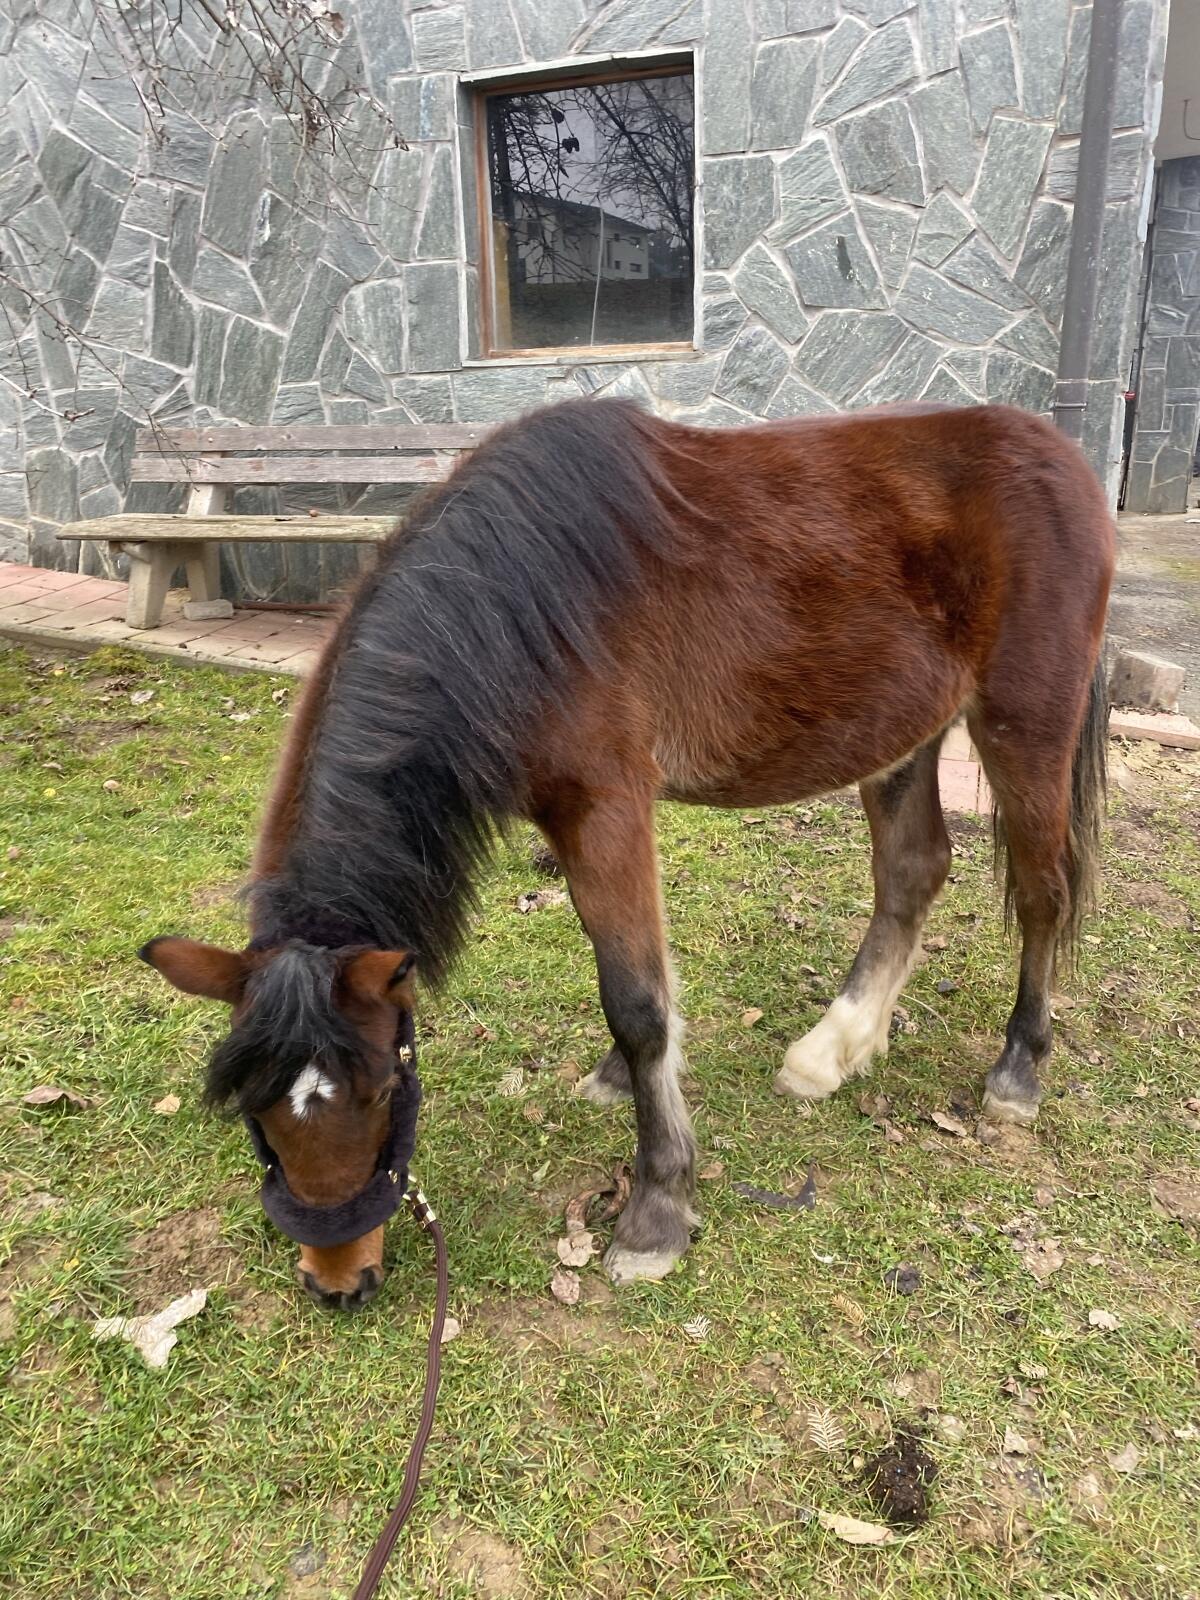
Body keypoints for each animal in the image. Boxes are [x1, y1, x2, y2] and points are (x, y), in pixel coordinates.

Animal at [140, 396, 1114, 1307]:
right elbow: (627, 982)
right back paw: (833, 1049)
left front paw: (656, 1209)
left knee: (1042, 892)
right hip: (901, 733)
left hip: (1023, 723)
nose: (339, 1280)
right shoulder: (569, 822)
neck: (518, 600)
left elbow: (638, 1004)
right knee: (914, 872)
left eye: (383, 1088)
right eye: (255, 1112)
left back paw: (1017, 1070)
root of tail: (1067, 459)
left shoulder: (608, 809)